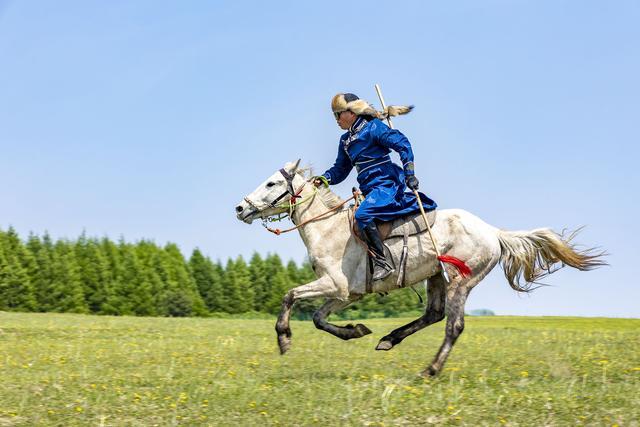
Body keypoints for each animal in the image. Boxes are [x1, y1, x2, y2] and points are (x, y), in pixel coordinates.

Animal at [235, 161, 604, 378]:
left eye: (271, 184)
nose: (240, 208)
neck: (329, 228)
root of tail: (493, 232)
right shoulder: (346, 294)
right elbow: (318, 318)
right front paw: (356, 331)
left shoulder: (333, 284)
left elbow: (290, 296)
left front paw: (284, 339)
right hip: (435, 277)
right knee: (434, 314)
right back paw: (388, 340)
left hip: (461, 282)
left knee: (453, 326)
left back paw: (431, 369)